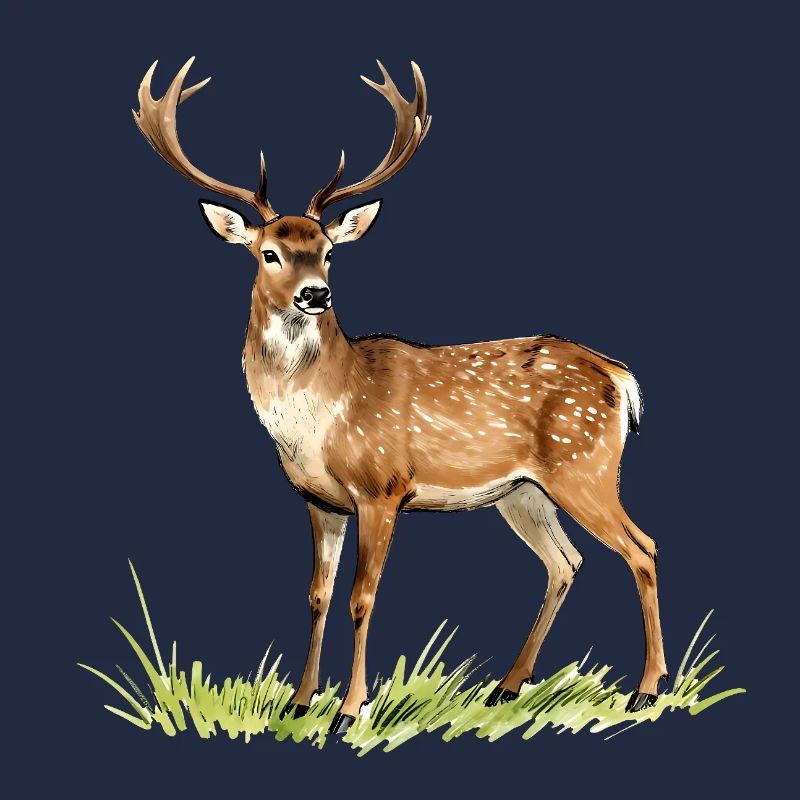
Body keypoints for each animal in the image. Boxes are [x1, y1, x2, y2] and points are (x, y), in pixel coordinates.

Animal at [133, 57, 668, 735]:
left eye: (329, 252)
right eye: (269, 252)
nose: (315, 294)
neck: (319, 418)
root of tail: (618, 376)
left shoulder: (382, 487)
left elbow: (362, 598)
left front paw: (349, 710)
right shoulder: (319, 500)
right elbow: (317, 596)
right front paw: (300, 701)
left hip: (585, 465)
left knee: (642, 549)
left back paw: (646, 689)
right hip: (522, 491)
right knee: (565, 562)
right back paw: (507, 686)